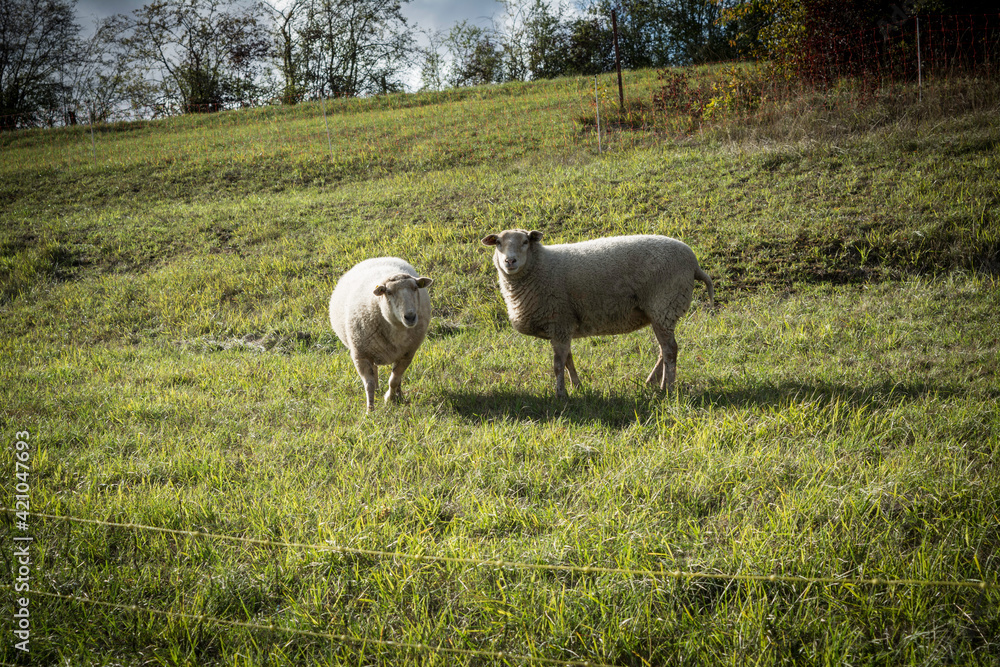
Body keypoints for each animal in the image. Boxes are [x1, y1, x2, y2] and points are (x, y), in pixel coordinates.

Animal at [332, 258, 434, 410]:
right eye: (389, 292)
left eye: (415, 288)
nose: (410, 317)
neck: (396, 328)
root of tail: (376, 258)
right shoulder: (360, 355)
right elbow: (369, 384)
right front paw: (370, 410)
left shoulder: (407, 354)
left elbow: (394, 380)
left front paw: (389, 399)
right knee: (374, 372)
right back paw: (378, 390)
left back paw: (398, 395)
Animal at [482, 230, 712, 396]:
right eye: (498, 243)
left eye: (525, 242)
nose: (510, 261)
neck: (540, 267)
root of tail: (695, 264)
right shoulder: (563, 326)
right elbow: (568, 360)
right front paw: (577, 387)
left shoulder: (559, 322)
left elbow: (558, 364)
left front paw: (561, 394)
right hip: (660, 312)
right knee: (663, 350)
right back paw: (652, 382)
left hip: (664, 305)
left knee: (670, 350)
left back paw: (668, 388)